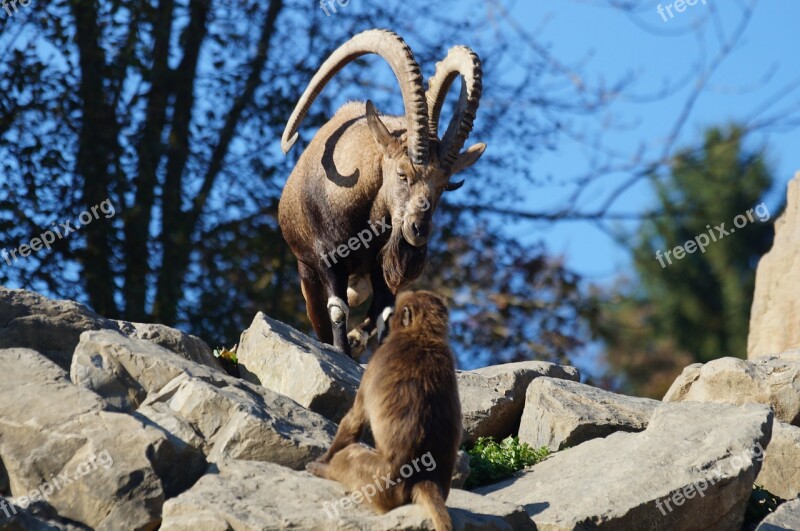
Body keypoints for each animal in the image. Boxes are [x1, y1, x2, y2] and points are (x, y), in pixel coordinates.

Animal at [306, 290, 460, 531]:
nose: (387, 324)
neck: (421, 334)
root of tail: (424, 477)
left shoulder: (376, 361)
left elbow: (355, 419)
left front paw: (323, 459)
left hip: (378, 482)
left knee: (350, 454)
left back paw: (324, 470)